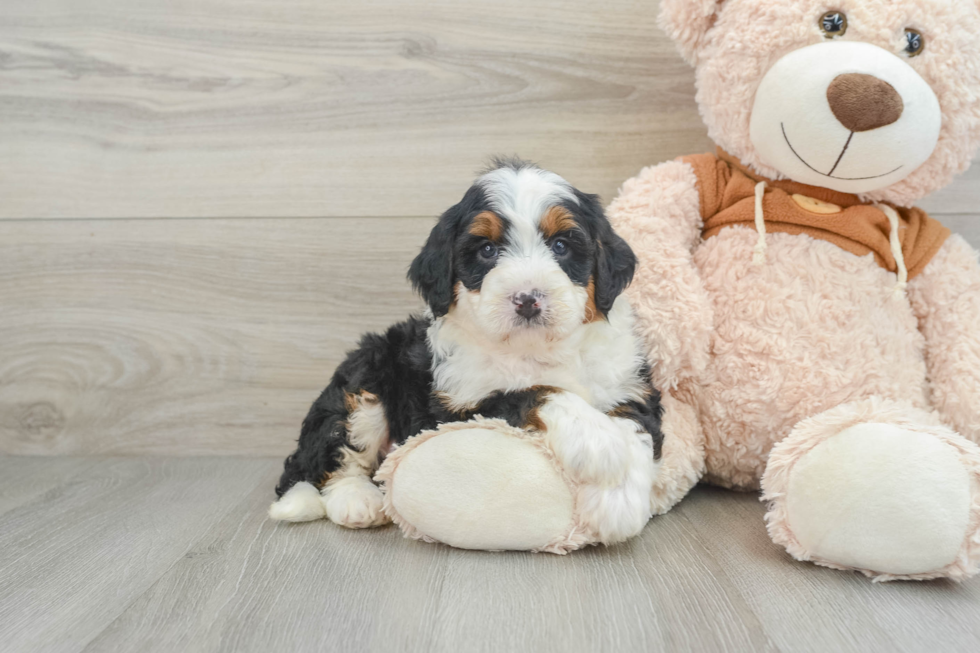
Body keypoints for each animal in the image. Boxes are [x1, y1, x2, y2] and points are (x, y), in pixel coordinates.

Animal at [272, 159, 664, 544]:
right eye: (486, 250)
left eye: (561, 246)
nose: (527, 299)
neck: (536, 349)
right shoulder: (454, 408)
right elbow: (534, 392)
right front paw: (597, 442)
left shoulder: (628, 384)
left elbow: (635, 428)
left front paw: (618, 502)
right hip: (364, 379)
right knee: (333, 458)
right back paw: (358, 502)